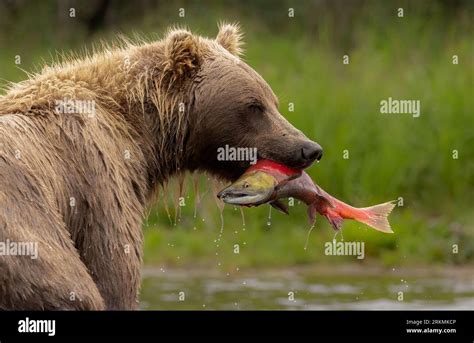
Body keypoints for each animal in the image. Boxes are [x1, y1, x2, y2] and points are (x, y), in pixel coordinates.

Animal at [0, 22, 322, 310]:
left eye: (274, 102)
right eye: (254, 105)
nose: (309, 148)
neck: (143, 137)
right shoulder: (100, 179)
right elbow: (113, 272)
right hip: (28, 225)